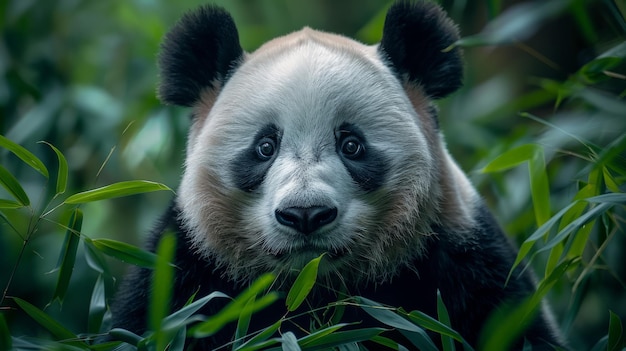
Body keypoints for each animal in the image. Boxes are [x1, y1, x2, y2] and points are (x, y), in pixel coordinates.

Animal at [107, 1, 564, 350]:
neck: (313, 290)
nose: (305, 214)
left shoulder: (463, 261)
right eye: (265, 147)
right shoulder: (186, 273)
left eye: (352, 145)